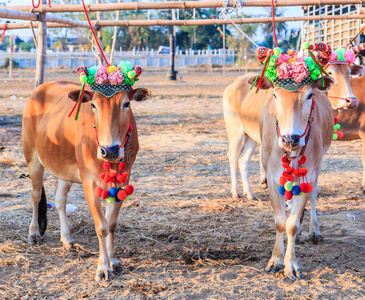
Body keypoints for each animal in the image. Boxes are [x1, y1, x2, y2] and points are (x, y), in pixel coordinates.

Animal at [23, 80, 151, 282]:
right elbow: (102, 226)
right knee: (35, 195)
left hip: (64, 168)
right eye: (93, 105)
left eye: (126, 104)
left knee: (60, 200)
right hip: (32, 156)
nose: (110, 150)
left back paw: (67, 240)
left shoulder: (123, 179)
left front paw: (114, 261)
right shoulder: (89, 181)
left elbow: (111, 224)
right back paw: (34, 233)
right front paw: (103, 268)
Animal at [256, 76, 332, 280]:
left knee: (313, 196)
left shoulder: (310, 175)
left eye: (310, 95)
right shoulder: (272, 178)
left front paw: (290, 265)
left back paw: (314, 231)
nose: (291, 138)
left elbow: (292, 225)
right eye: (275, 94)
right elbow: (281, 222)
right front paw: (276, 260)